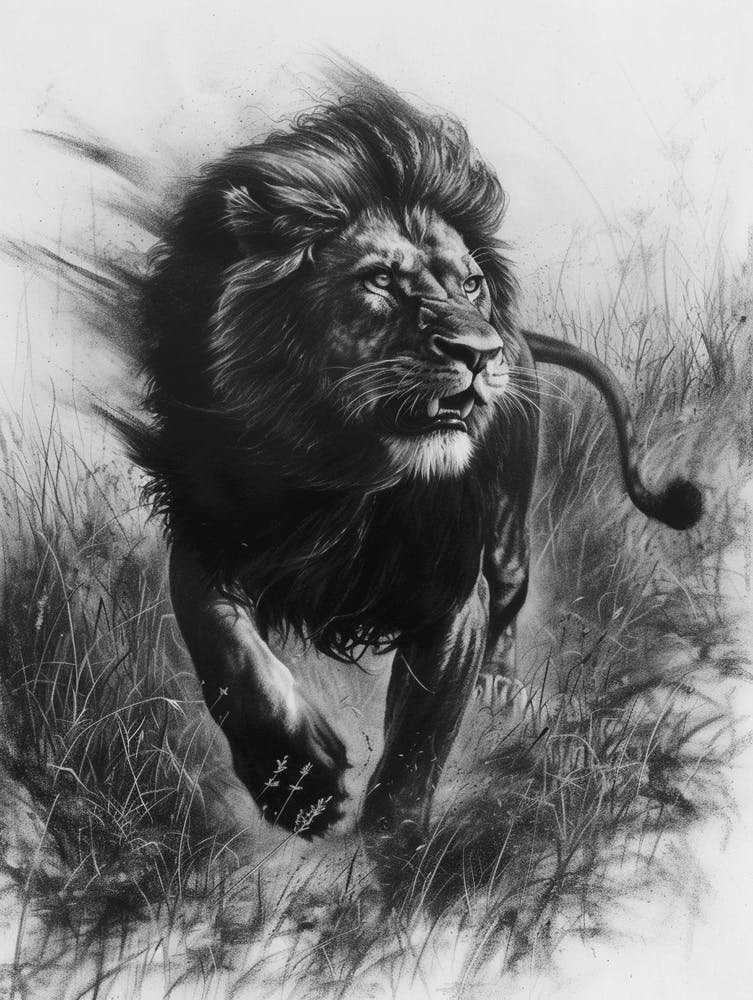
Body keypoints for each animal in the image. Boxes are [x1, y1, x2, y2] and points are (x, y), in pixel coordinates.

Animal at [113, 69, 701, 847]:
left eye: (470, 283)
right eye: (380, 281)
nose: (478, 352)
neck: (338, 477)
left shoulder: (450, 597)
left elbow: (415, 753)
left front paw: (396, 859)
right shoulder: (208, 533)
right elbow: (231, 658)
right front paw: (295, 783)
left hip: (507, 530)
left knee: (511, 598)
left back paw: (499, 688)